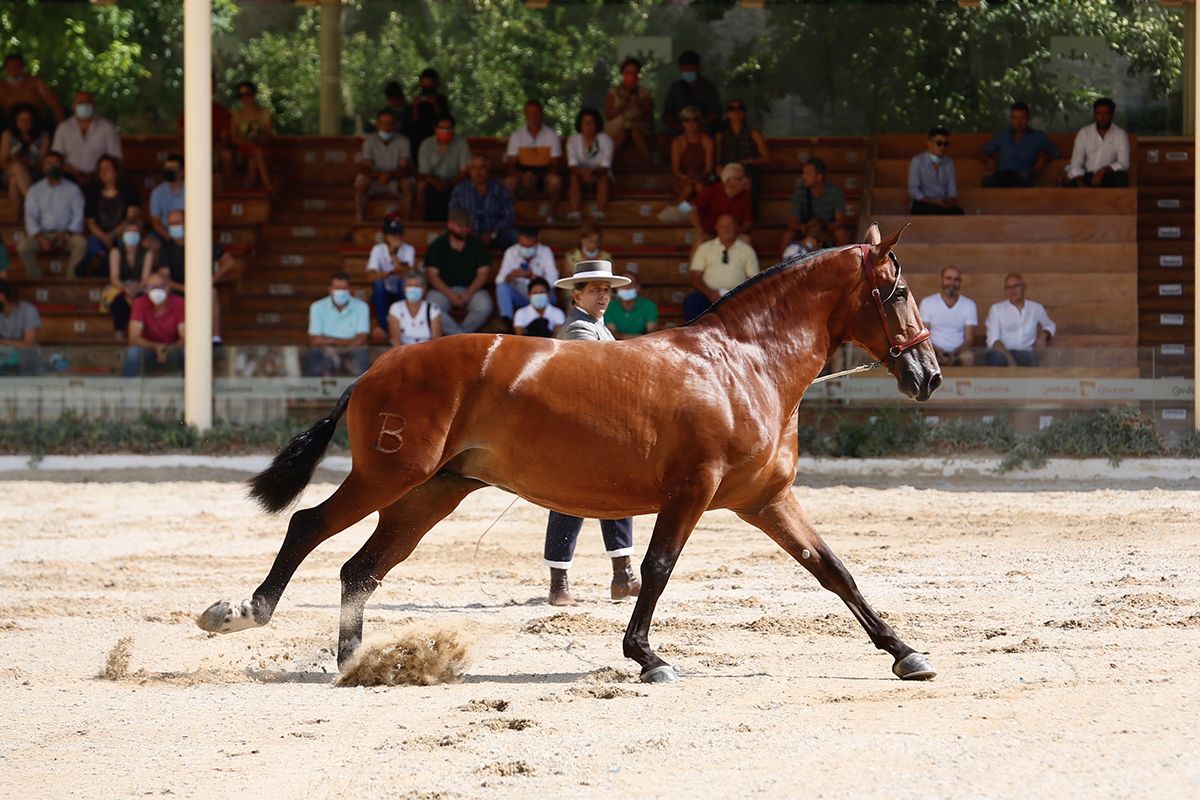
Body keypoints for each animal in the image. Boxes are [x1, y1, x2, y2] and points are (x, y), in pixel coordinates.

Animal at [196, 224, 940, 681]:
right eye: (899, 291)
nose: (928, 375)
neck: (741, 365)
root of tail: (379, 367)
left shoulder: (765, 500)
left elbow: (833, 571)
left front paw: (905, 652)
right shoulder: (693, 491)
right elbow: (658, 568)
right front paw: (647, 657)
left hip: (432, 492)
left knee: (361, 569)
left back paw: (355, 664)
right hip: (389, 476)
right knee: (308, 526)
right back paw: (246, 612)